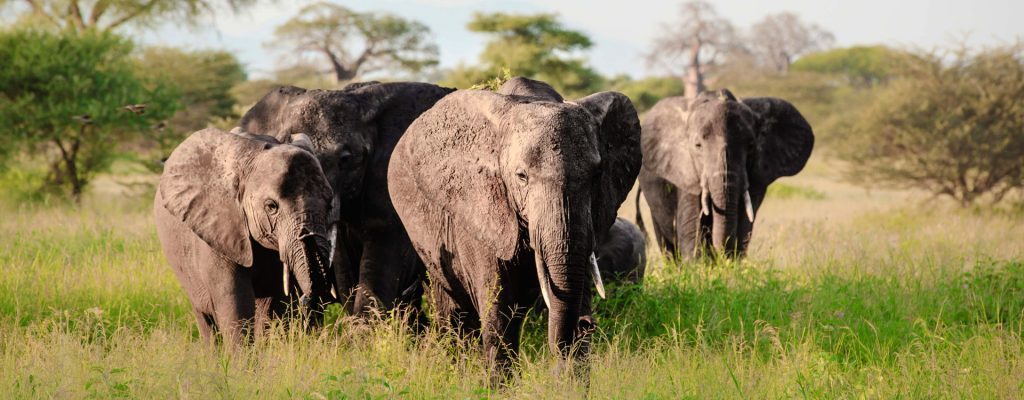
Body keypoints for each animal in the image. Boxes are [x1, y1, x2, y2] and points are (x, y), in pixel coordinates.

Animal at [154, 128, 335, 346]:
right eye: (271, 206)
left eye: (330, 205)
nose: (307, 235)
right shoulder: (219, 232)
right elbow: (235, 302)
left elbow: (272, 306)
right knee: (205, 317)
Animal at [388, 77, 641, 379]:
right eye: (521, 177)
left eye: (596, 176)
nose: (586, 324)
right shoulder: (479, 211)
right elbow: (498, 309)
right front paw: (497, 386)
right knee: (454, 312)